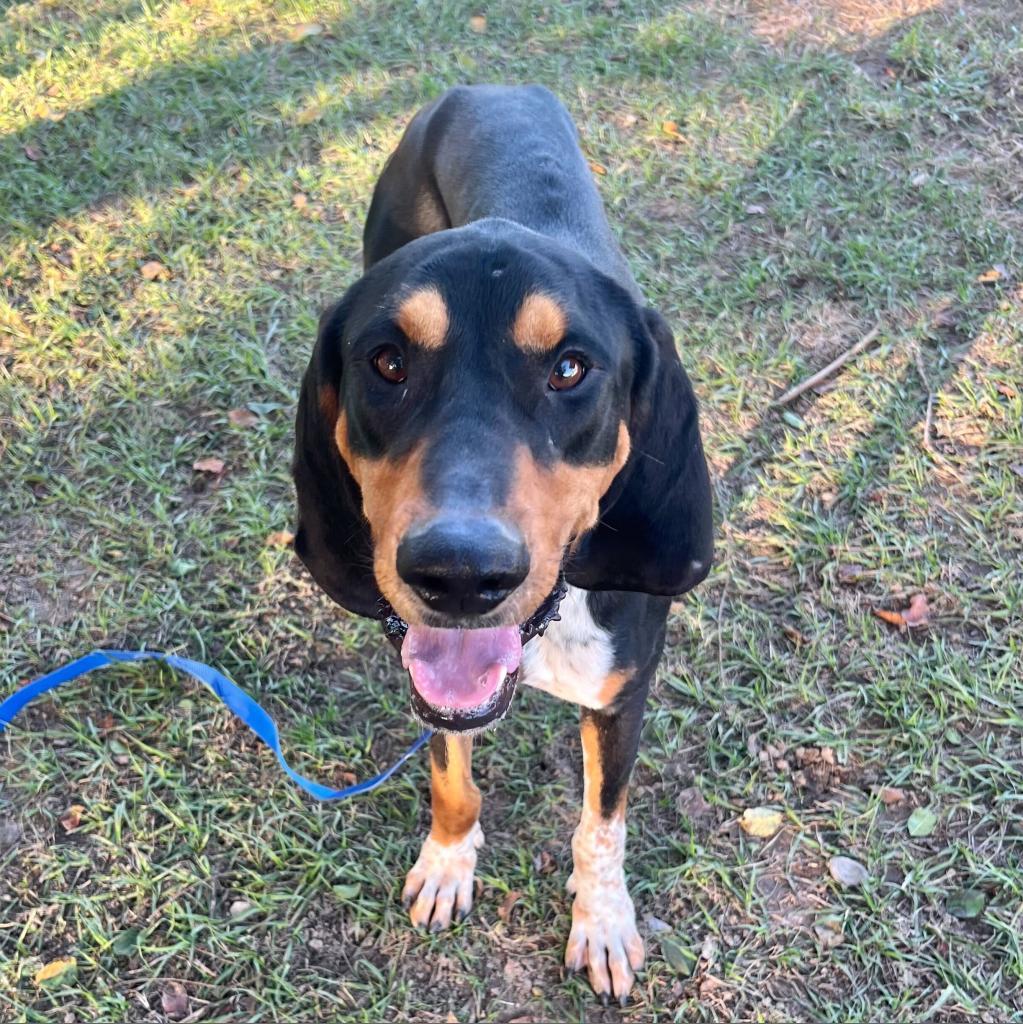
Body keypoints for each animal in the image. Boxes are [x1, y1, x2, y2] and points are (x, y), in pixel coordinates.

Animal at [296, 83, 712, 1003]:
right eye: (386, 361)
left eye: (569, 369)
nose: (457, 573)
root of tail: (484, 88)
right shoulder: (429, 673)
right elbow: (450, 777)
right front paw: (449, 862)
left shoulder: (621, 698)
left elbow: (601, 825)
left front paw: (602, 921)